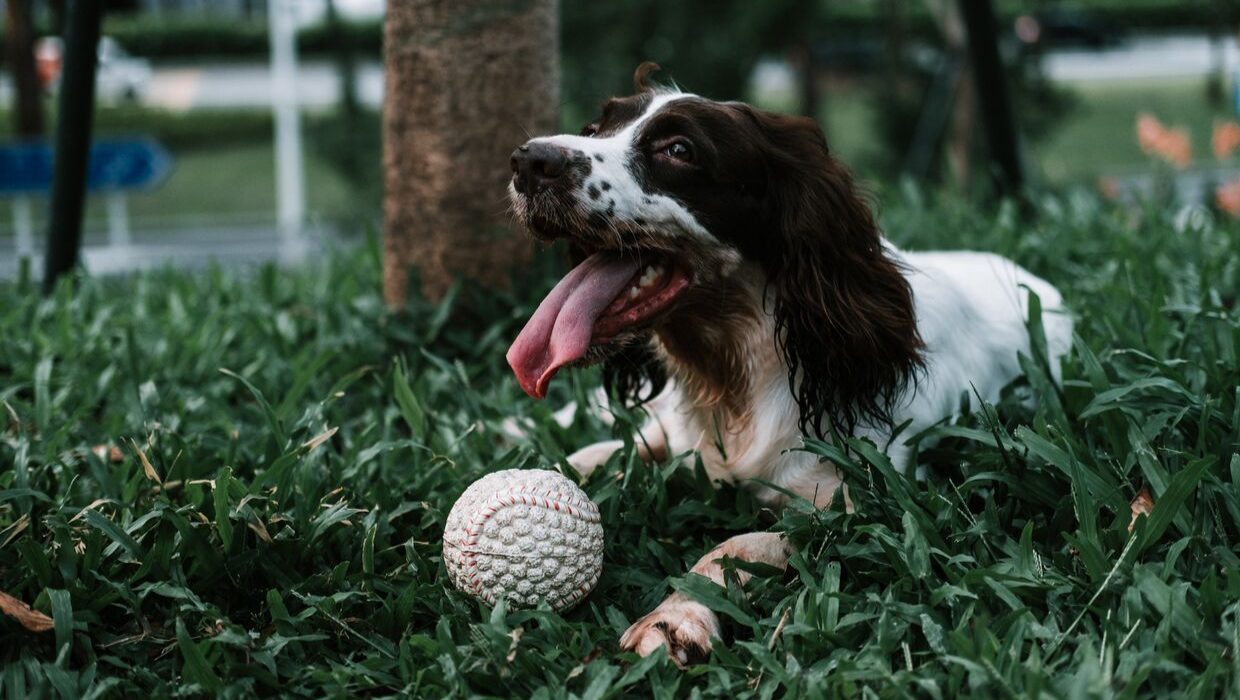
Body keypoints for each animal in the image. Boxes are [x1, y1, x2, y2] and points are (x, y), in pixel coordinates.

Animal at [503, 65, 1076, 664]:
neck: (736, 371)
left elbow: (739, 544)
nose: (527, 160)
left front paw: (675, 616)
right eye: (595, 129)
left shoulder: (862, 503)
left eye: (678, 150)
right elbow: (601, 453)